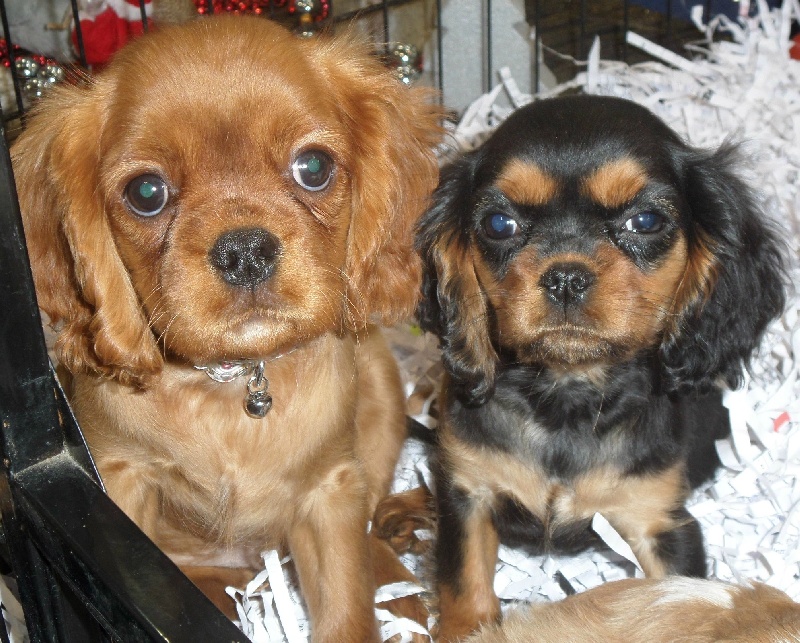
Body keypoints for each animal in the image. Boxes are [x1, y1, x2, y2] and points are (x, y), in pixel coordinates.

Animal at [13, 16, 441, 640]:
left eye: (314, 167)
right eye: (146, 193)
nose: (245, 252)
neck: (233, 385)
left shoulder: (331, 491)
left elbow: (347, 606)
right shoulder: (119, 480)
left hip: (383, 386)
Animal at [414, 95, 786, 640]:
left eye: (646, 221)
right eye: (499, 224)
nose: (566, 277)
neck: (567, 393)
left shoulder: (660, 523)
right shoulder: (467, 493)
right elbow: (464, 585)